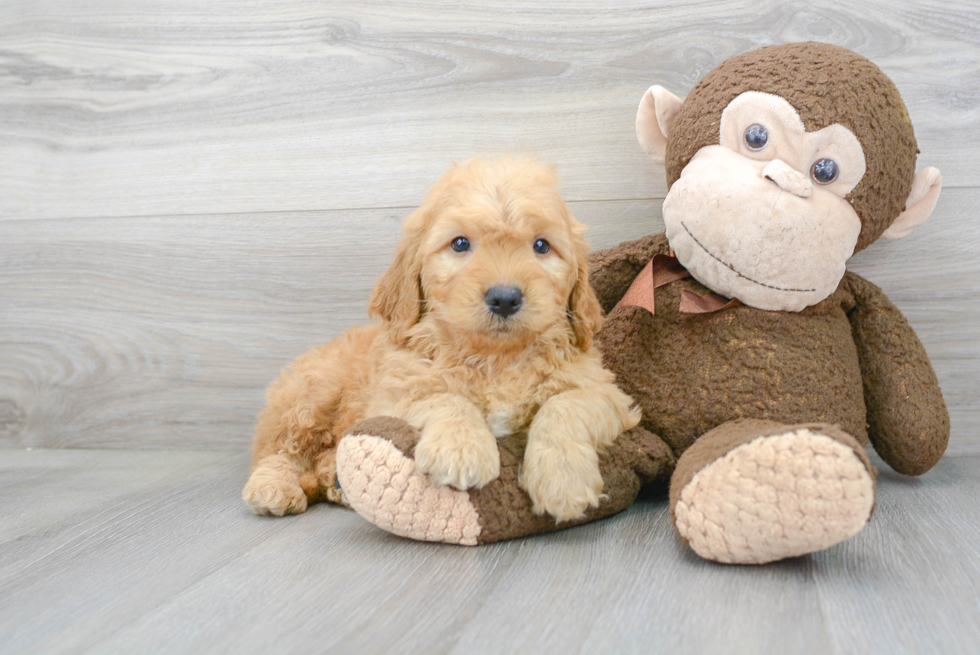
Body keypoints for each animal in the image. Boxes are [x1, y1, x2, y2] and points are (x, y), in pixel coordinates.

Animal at [244, 155, 640, 524]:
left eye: (542, 246)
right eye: (460, 243)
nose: (505, 298)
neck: (495, 359)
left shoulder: (606, 392)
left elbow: (565, 404)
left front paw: (563, 477)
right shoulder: (392, 396)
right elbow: (443, 396)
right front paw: (461, 449)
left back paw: (337, 482)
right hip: (310, 396)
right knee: (279, 451)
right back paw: (273, 487)